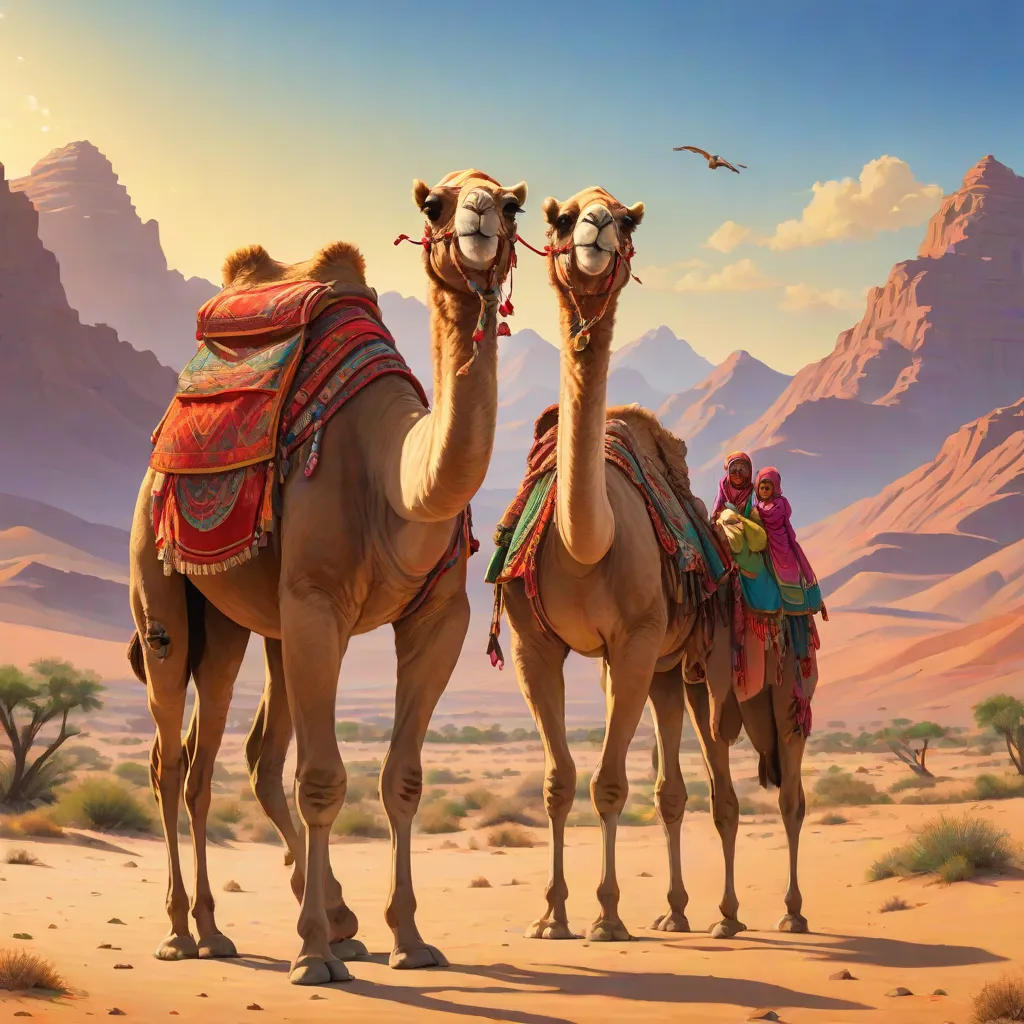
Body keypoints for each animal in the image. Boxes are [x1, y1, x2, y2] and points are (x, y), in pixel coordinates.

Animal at [128, 169, 526, 985]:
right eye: (434, 203)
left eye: (512, 202)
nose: (478, 218)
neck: (395, 479)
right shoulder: (317, 606)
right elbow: (321, 780)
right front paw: (313, 954)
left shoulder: (440, 618)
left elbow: (400, 779)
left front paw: (408, 940)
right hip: (160, 583)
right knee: (170, 757)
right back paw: (183, 933)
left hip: (242, 625)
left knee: (228, 757)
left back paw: (246, 928)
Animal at [497, 186, 747, 943]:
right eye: (558, 215)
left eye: (628, 219)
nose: (596, 227)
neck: (586, 542)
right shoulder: (535, 644)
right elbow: (558, 782)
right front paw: (552, 915)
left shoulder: (633, 638)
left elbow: (609, 783)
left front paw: (606, 917)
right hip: (661, 669)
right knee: (672, 789)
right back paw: (675, 911)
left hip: (697, 657)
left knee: (719, 786)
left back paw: (726, 916)